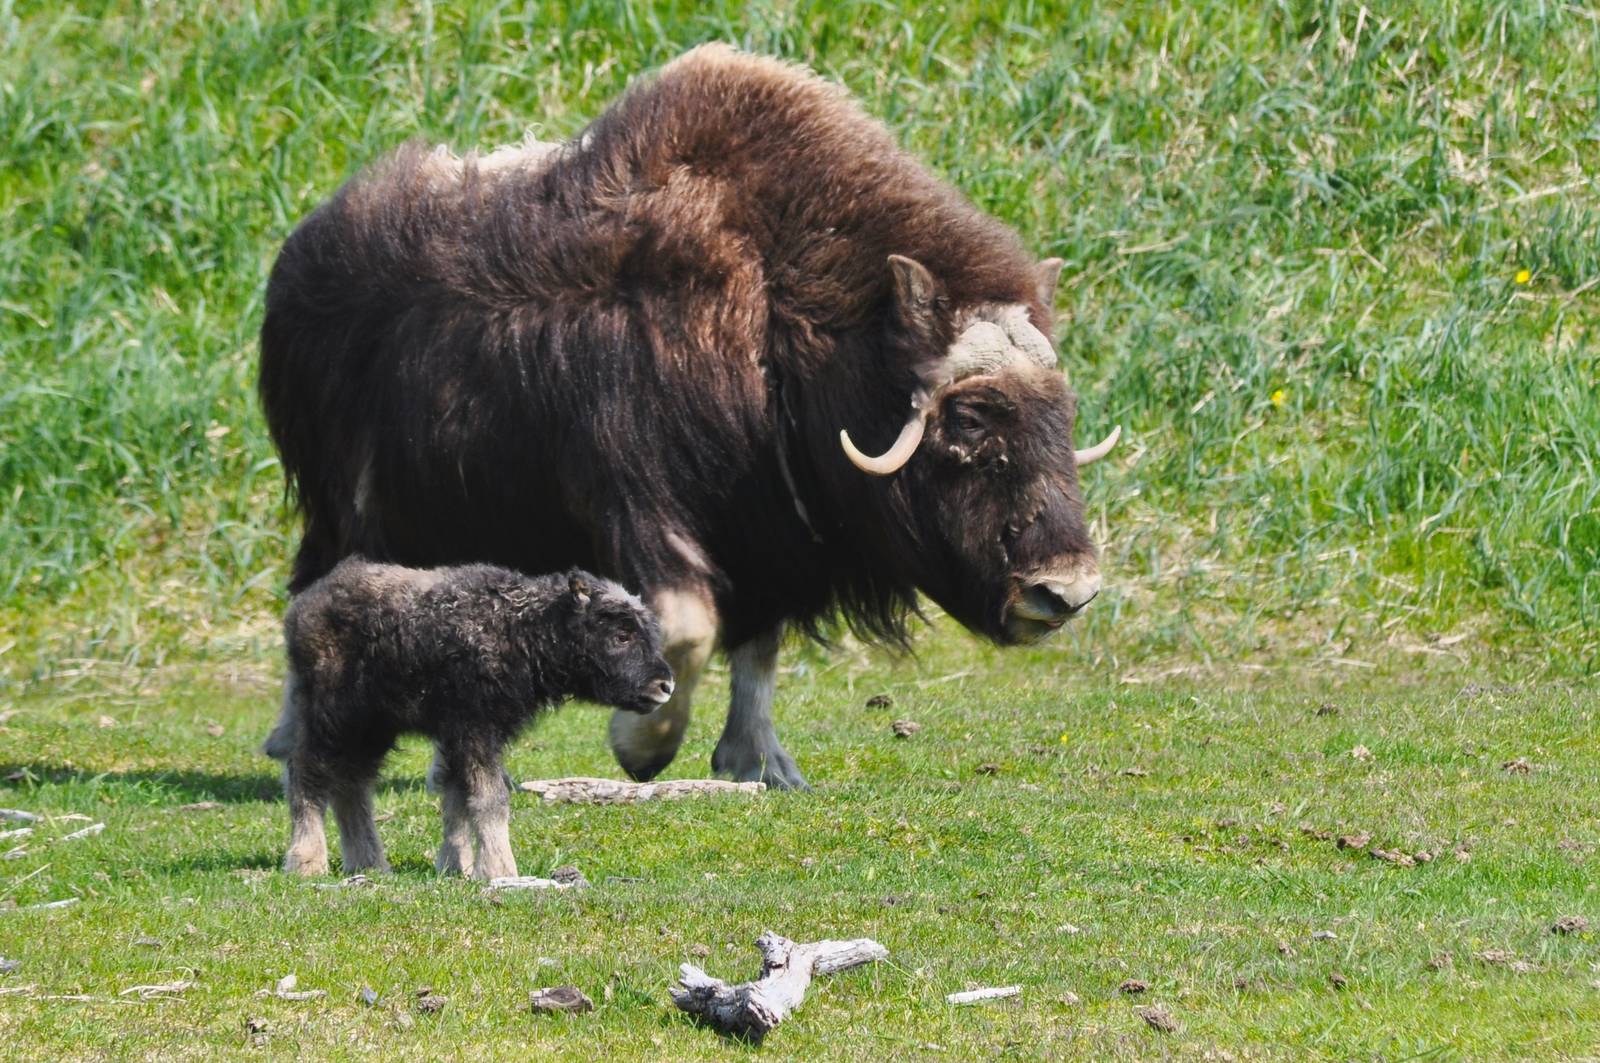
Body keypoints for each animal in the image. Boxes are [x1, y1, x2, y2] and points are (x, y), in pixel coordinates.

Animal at [258, 44, 1120, 791]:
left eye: (1064, 409)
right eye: (970, 418)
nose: (1067, 590)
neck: (782, 314)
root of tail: (297, 250)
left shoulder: (773, 531)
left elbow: (758, 649)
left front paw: (760, 763)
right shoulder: (639, 491)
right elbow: (691, 624)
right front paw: (640, 744)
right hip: (349, 504)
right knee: (315, 592)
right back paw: (290, 738)